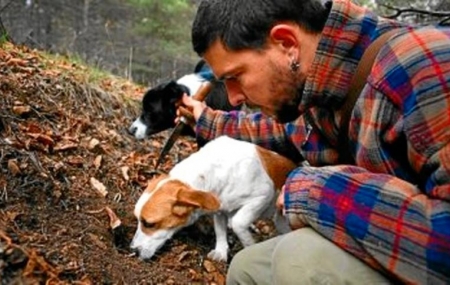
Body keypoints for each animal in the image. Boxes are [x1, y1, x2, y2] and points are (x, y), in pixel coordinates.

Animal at [131, 135, 296, 262]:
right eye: (138, 220)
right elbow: (220, 231)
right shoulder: (219, 209)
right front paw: (221, 251)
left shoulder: (262, 195)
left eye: (149, 224)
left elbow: (238, 223)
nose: (132, 250)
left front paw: (249, 246)